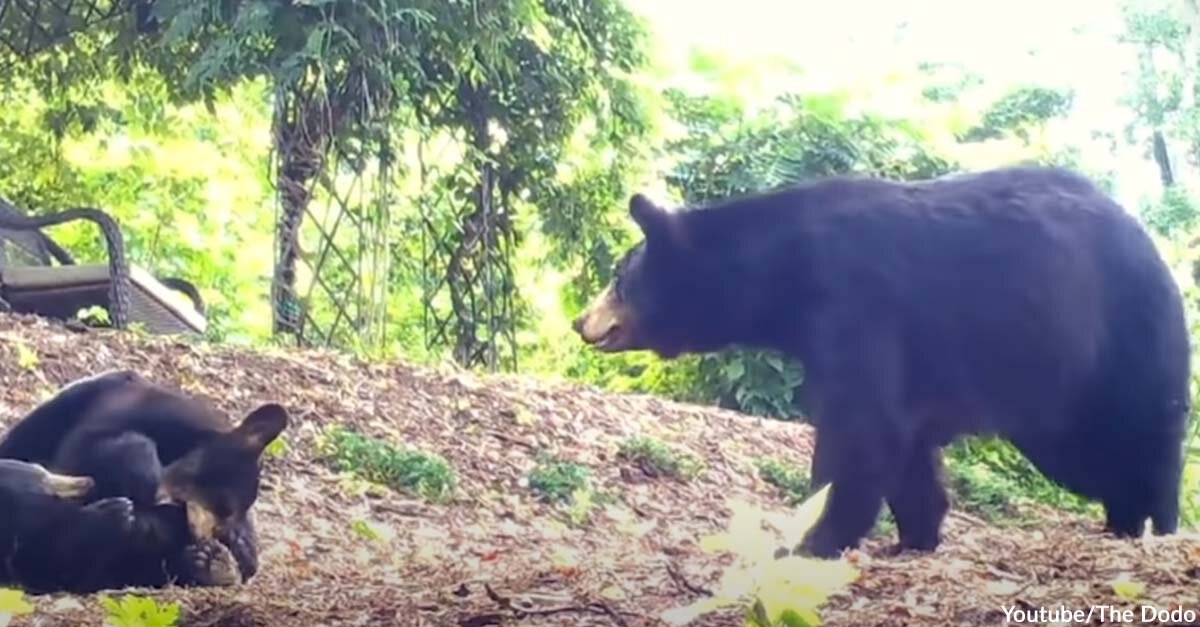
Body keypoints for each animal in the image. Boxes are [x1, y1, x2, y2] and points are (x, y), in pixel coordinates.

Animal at [0, 365, 288, 586]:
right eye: (223, 506)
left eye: (226, 517)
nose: (203, 537)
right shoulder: (125, 415)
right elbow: (93, 448)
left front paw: (228, 553)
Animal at [576, 163, 1195, 554]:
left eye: (618, 278)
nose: (582, 322)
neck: (783, 273)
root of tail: (1152, 243)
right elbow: (905, 443)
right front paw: (917, 535)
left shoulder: (858, 302)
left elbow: (860, 429)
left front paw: (813, 538)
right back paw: (1123, 520)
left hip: (1119, 338)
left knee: (1142, 433)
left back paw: (1155, 522)